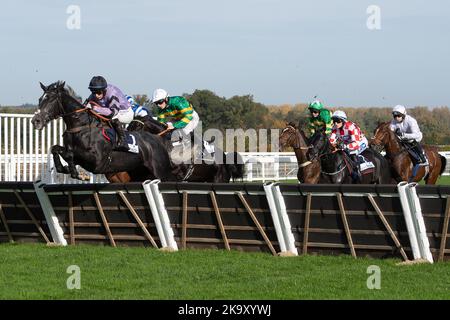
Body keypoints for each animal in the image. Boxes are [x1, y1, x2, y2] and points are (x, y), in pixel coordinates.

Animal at [31, 81, 175, 182]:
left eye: (50, 99)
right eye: (40, 99)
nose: (35, 121)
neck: (81, 126)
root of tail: (158, 139)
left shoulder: (97, 161)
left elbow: (69, 154)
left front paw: (76, 173)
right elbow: (56, 149)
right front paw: (68, 169)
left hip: (161, 172)